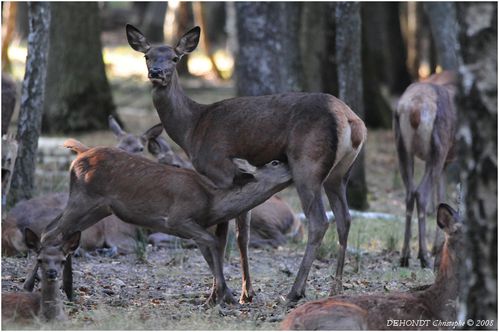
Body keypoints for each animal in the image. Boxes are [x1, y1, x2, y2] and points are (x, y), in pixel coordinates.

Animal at [27, 139, 292, 304]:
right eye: (275, 162)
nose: (293, 165)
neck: (212, 202)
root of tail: (81, 152)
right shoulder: (177, 218)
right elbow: (215, 244)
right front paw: (220, 297)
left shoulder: (196, 227)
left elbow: (211, 250)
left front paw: (224, 295)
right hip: (83, 199)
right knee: (50, 233)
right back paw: (30, 285)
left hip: (97, 207)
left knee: (61, 233)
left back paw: (68, 290)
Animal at [125, 24, 368, 302]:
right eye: (147, 56)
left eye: (175, 58)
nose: (156, 73)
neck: (192, 128)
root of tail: (351, 121)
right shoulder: (242, 177)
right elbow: (243, 235)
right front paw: (246, 293)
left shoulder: (219, 170)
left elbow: (220, 235)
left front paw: (218, 294)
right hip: (340, 174)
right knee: (345, 219)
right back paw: (335, 289)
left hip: (307, 164)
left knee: (319, 221)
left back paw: (295, 291)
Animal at [394, 70, 458, 268]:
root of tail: (415, 108)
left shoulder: (446, 163)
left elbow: (441, 197)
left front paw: (438, 246)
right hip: (438, 147)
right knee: (421, 193)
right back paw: (423, 256)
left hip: (402, 146)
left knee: (410, 192)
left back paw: (405, 255)